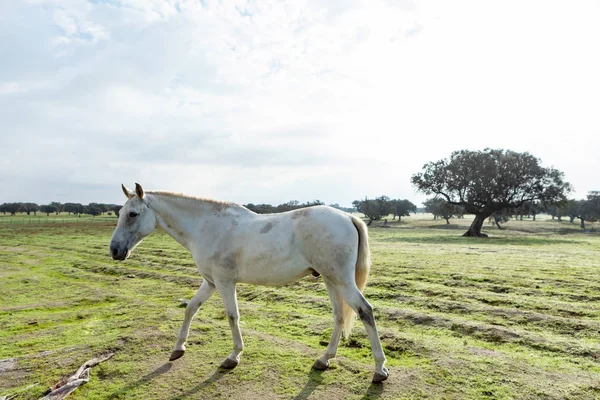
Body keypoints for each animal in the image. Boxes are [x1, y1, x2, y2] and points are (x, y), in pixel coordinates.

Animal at [108, 183, 390, 382]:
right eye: (121, 212)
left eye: (133, 214)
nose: (114, 250)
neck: (207, 227)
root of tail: (348, 217)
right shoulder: (210, 282)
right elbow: (190, 308)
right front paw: (178, 348)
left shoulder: (224, 282)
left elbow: (232, 316)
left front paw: (233, 356)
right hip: (331, 280)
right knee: (340, 316)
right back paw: (324, 359)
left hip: (341, 281)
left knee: (365, 311)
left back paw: (379, 370)